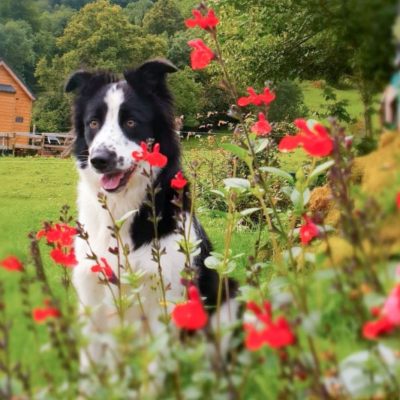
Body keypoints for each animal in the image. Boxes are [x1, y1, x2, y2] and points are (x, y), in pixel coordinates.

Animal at [64, 58, 236, 368]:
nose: (99, 160)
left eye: (131, 122)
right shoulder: (91, 300)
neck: (121, 211)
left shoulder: (164, 303)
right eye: (93, 123)